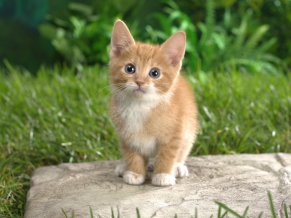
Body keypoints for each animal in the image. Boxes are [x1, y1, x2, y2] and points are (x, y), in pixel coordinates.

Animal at [108, 20, 200, 186]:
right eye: (129, 68)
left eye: (154, 73)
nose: (139, 82)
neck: (139, 106)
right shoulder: (126, 136)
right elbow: (131, 154)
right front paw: (135, 173)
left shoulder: (175, 133)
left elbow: (168, 154)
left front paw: (163, 174)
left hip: (190, 131)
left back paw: (177, 167)